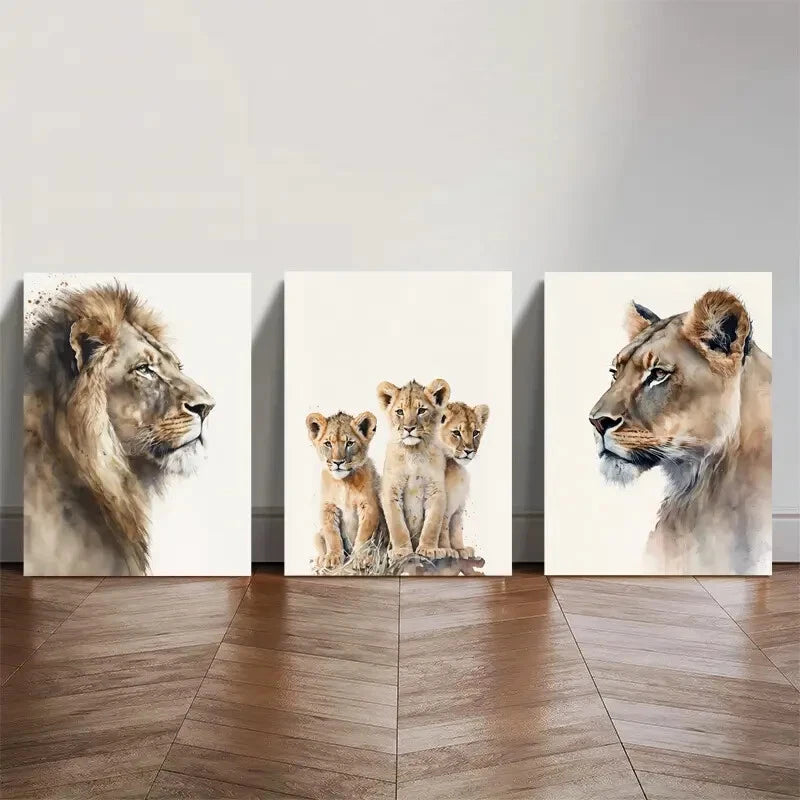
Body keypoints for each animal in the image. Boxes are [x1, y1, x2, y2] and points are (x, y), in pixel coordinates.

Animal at [305, 410, 384, 570]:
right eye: (328, 444)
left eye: (349, 443)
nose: (338, 462)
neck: (344, 483)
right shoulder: (328, 508)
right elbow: (332, 535)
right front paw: (332, 558)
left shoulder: (369, 506)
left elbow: (364, 535)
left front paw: (360, 558)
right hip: (316, 535)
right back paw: (320, 559)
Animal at [377, 378, 450, 561]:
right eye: (400, 412)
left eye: (422, 410)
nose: (409, 428)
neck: (414, 452)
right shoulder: (390, 490)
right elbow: (397, 526)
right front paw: (402, 551)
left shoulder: (436, 490)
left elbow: (432, 524)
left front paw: (429, 549)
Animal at [436, 401, 490, 558]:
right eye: (456, 433)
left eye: (475, 432)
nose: (469, 451)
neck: (457, 468)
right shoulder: (444, 507)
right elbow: (442, 529)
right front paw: (447, 550)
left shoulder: (458, 510)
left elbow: (456, 529)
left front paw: (460, 549)